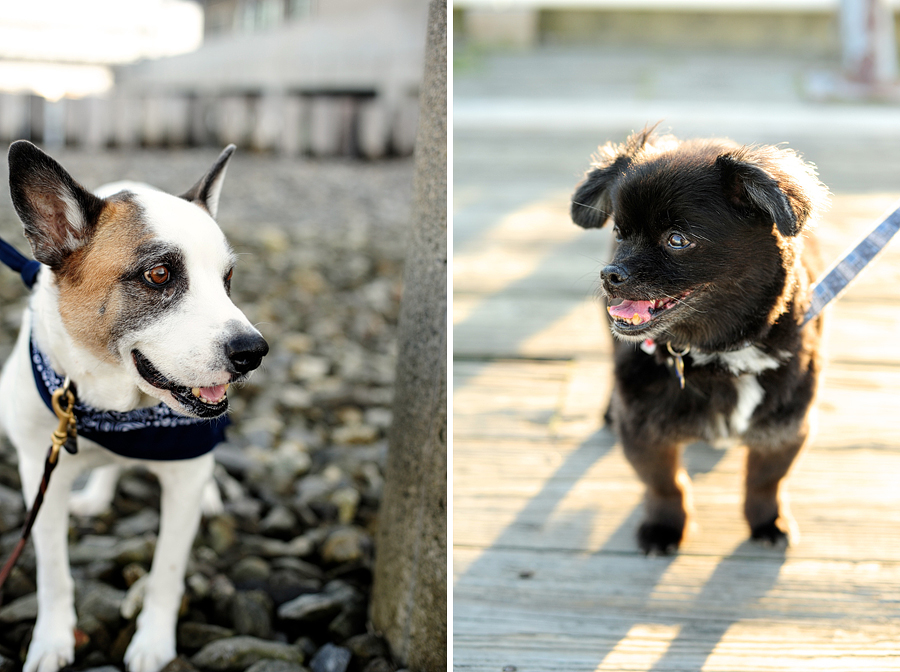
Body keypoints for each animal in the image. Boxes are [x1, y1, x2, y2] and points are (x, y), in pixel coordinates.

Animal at [0, 142, 268, 672]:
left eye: (227, 279)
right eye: (160, 275)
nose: (253, 351)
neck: (117, 414)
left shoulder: (183, 479)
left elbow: (167, 570)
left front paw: (153, 644)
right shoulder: (40, 473)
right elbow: (53, 573)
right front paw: (51, 640)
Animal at [568, 129, 828, 552]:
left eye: (677, 240)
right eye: (620, 233)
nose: (610, 275)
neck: (718, 355)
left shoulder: (785, 426)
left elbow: (765, 482)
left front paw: (768, 521)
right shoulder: (643, 431)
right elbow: (665, 486)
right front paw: (665, 526)